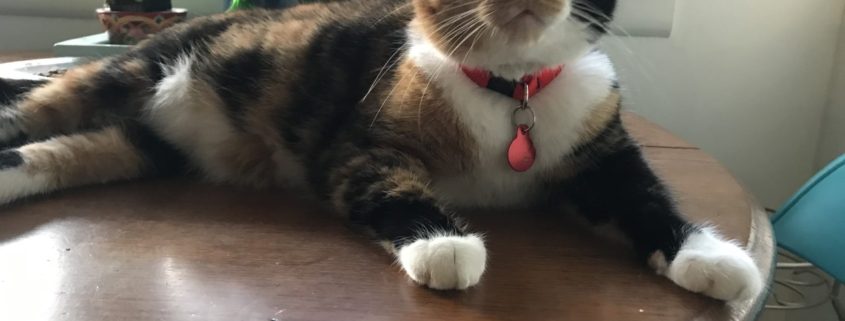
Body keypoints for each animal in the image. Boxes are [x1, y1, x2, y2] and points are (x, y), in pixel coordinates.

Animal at [0, 0, 760, 300]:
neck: (508, 90)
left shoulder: (601, 148)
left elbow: (646, 197)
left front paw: (711, 259)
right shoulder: (359, 146)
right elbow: (390, 187)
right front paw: (444, 244)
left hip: (143, 147)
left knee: (59, 154)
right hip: (121, 78)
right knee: (29, 118)